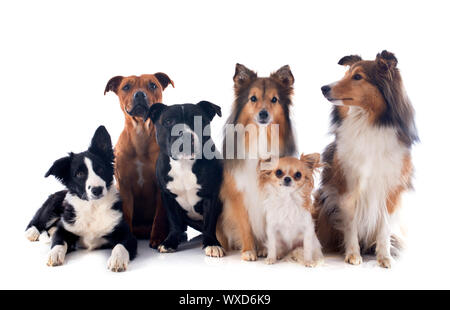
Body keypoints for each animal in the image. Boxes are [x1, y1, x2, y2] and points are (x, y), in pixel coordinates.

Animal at [24, 125, 136, 272]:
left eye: (100, 169)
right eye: (79, 174)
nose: (97, 189)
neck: (93, 207)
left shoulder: (125, 232)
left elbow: (120, 246)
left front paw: (117, 260)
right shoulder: (65, 229)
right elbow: (58, 241)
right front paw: (54, 254)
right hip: (52, 204)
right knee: (36, 221)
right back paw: (32, 233)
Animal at [104, 73, 173, 247]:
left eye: (153, 85)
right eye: (126, 87)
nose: (140, 94)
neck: (140, 133)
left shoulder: (160, 187)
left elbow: (160, 215)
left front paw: (158, 237)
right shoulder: (124, 186)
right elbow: (127, 214)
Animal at [149, 101, 224, 256]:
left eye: (199, 120)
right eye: (168, 122)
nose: (185, 135)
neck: (184, 164)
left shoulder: (211, 196)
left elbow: (209, 222)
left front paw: (211, 243)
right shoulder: (168, 197)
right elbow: (174, 221)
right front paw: (170, 242)